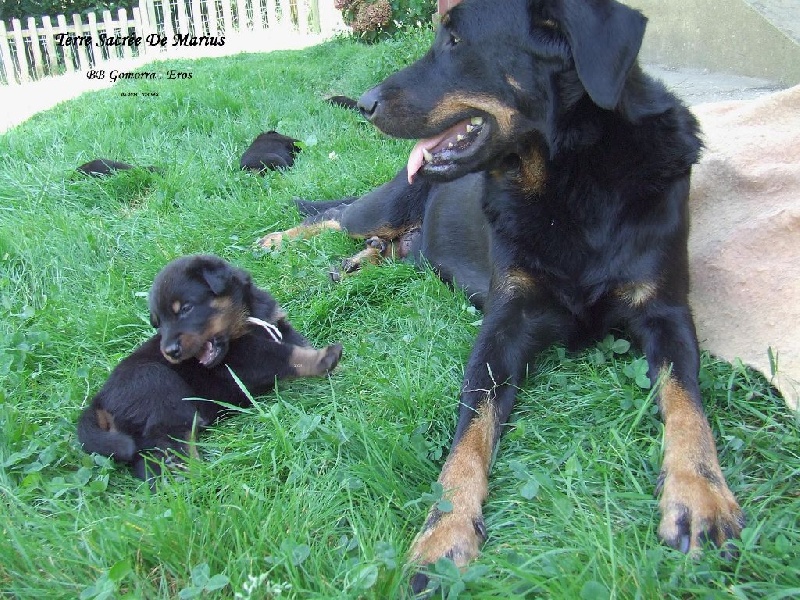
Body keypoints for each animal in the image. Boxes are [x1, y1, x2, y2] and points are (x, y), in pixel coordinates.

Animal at [78, 255, 344, 486]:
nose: (169, 351)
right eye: (158, 322)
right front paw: (325, 358)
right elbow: (286, 355)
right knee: (168, 444)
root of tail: (99, 400)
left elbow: (298, 344)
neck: (246, 319)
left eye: (185, 308)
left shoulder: (278, 325)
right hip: (157, 385)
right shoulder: (243, 359)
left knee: (149, 461)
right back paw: (198, 476)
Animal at [260, 0, 744, 592]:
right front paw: (443, 533)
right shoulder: (503, 324)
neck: (568, 181)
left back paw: (355, 264)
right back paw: (280, 241)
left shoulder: (666, 312)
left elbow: (686, 404)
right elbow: (470, 434)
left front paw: (699, 494)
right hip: (390, 201)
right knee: (338, 217)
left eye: (455, 40)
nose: (366, 103)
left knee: (382, 243)